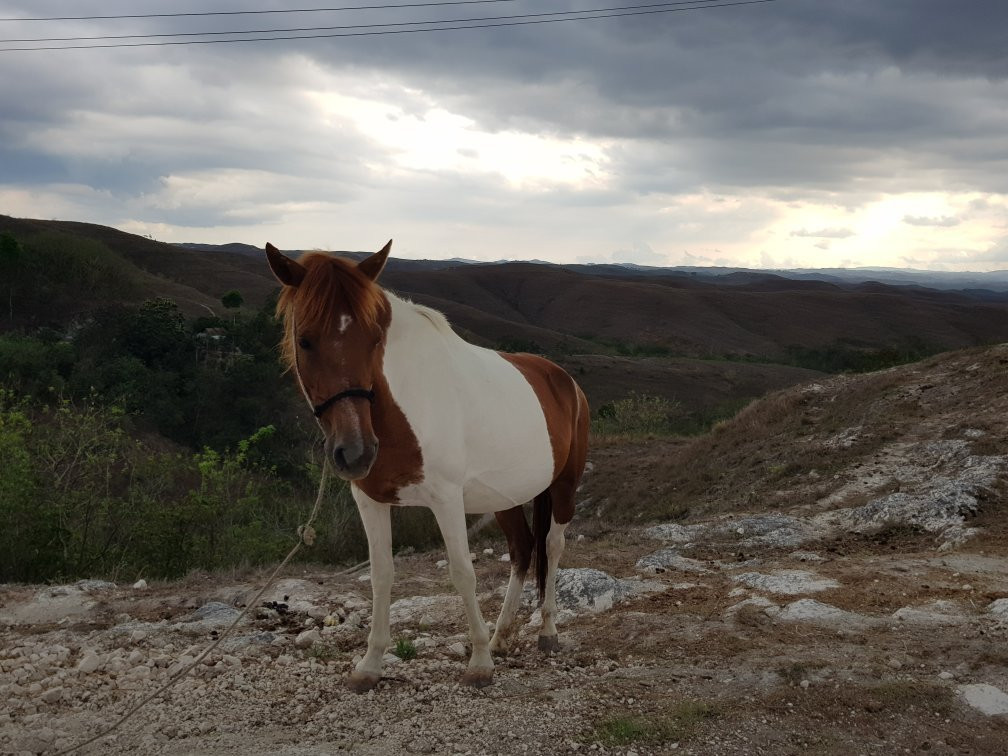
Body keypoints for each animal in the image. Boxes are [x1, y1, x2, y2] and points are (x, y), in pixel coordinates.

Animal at [266, 240, 588, 693]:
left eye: (374, 339)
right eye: (305, 341)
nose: (356, 452)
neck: (400, 407)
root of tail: (564, 380)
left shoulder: (447, 500)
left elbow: (463, 573)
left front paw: (479, 663)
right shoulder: (369, 500)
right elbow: (381, 576)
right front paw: (369, 664)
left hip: (563, 486)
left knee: (552, 546)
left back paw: (546, 632)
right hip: (504, 498)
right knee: (523, 550)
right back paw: (502, 636)